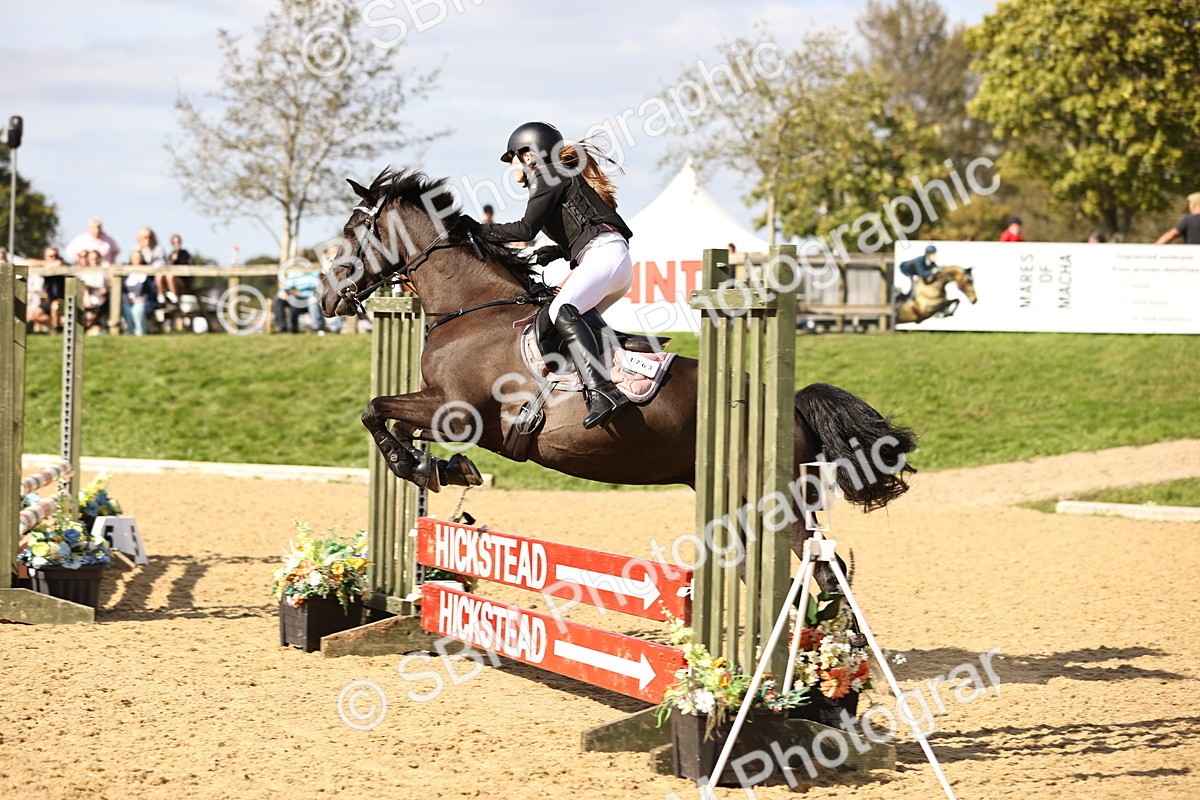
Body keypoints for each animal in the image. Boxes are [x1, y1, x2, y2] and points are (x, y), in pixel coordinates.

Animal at [317, 168, 918, 594]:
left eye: (350, 231)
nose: (324, 299)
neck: (473, 309)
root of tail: (787, 404)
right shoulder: (439, 407)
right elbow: (389, 418)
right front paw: (438, 468)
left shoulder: (457, 410)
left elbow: (375, 408)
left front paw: (420, 466)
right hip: (737, 504)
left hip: (778, 504)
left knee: (825, 568)